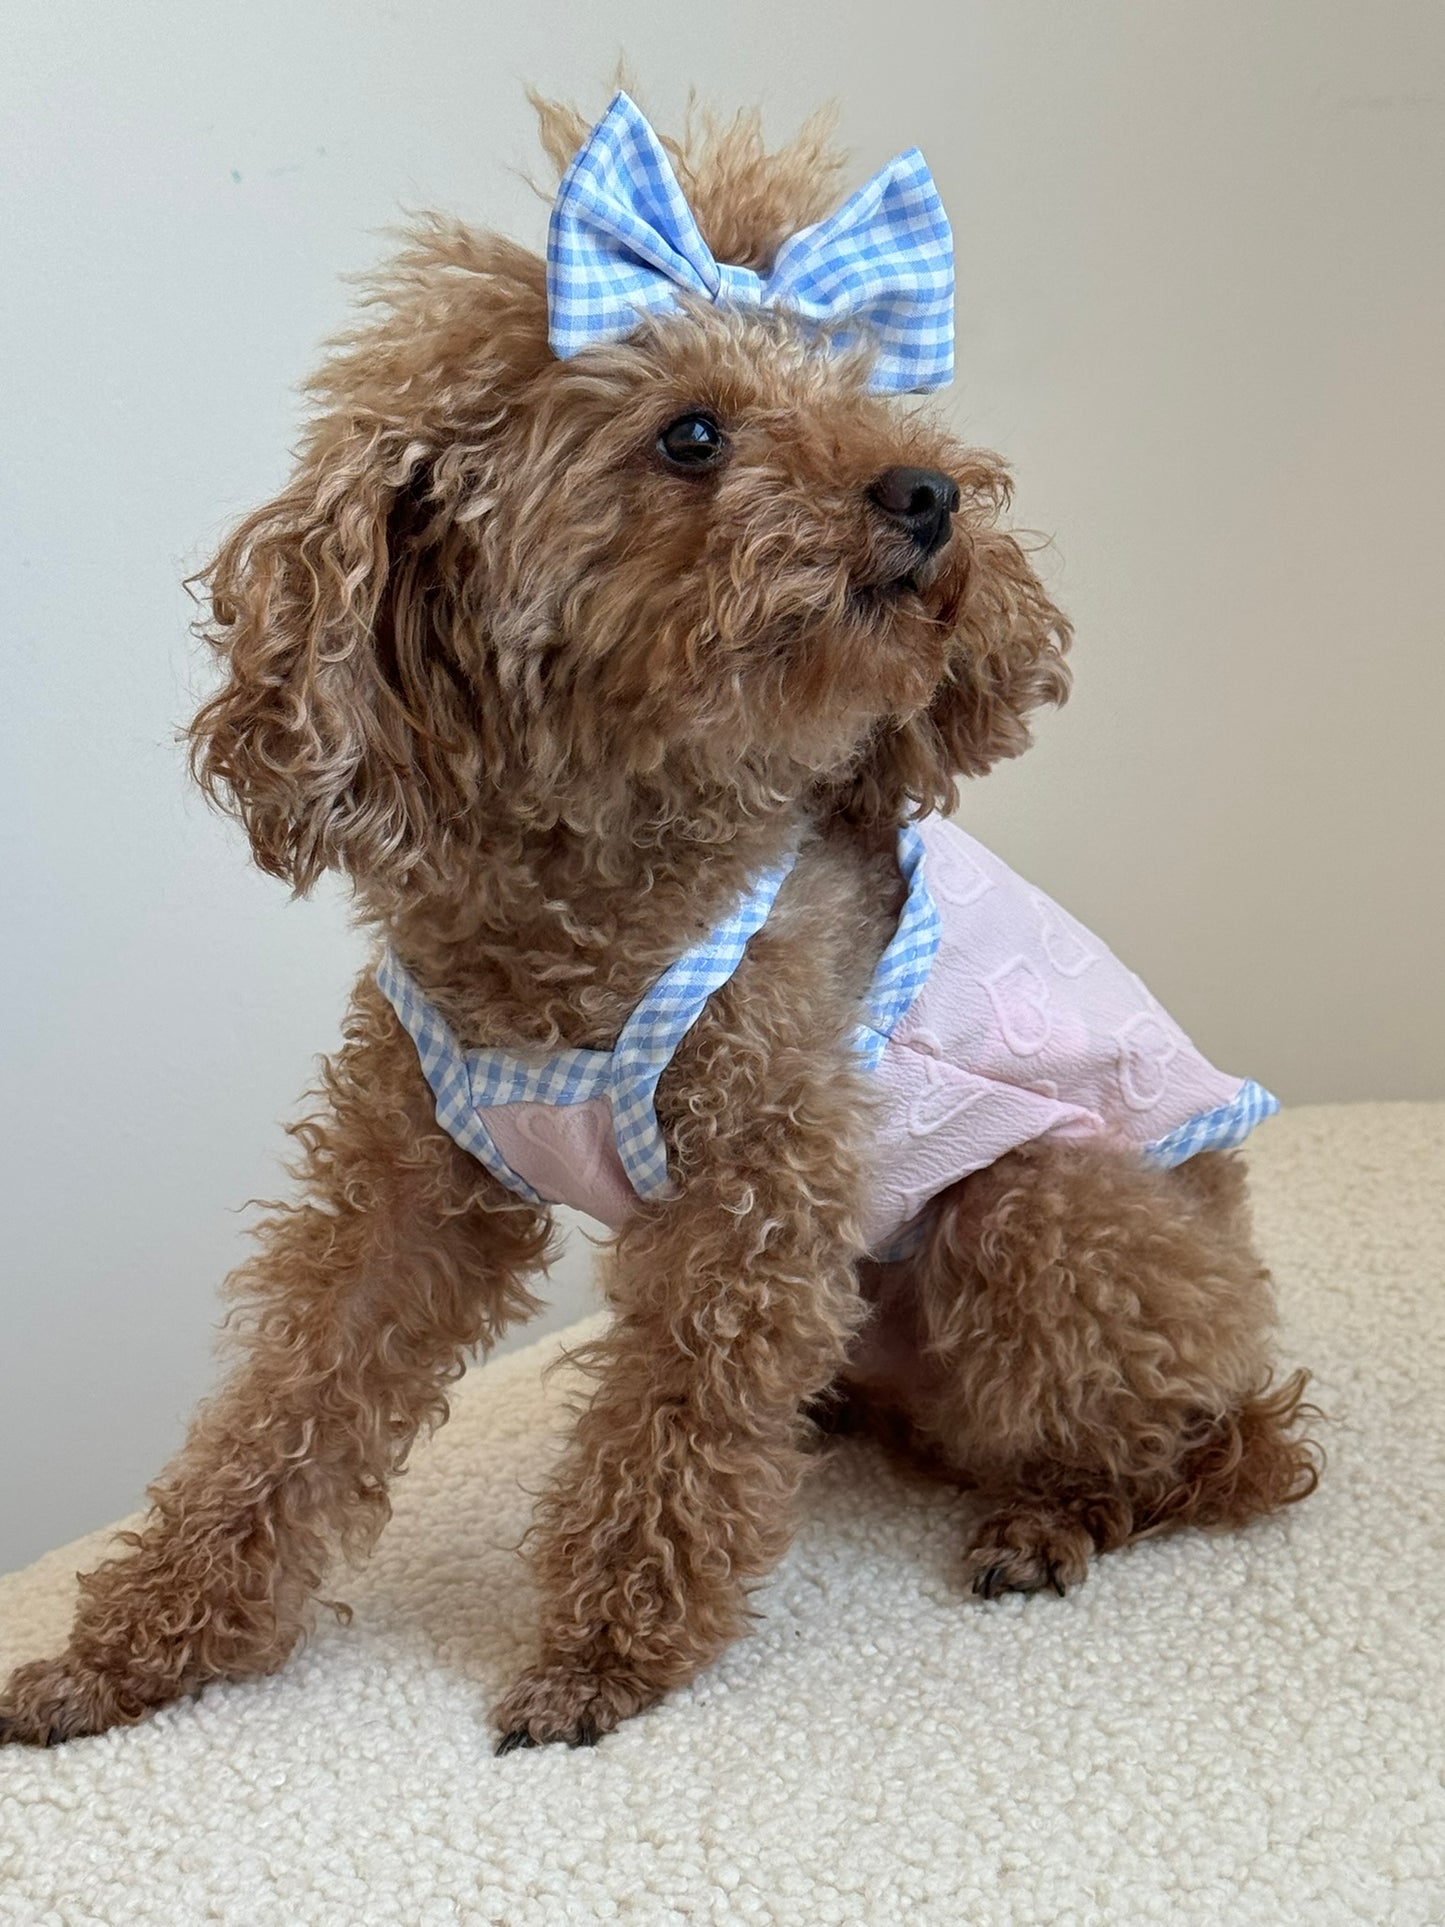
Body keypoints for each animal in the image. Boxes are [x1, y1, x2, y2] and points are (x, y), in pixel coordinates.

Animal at [0, 93, 1325, 1749]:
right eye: (691, 433)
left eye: (861, 400)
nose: (928, 492)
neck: (601, 865)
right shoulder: (406, 1179)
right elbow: (290, 1402)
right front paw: (136, 1646)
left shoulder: (749, 1190)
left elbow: (670, 1430)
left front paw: (602, 1657)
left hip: (1050, 1216)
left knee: (1220, 1446)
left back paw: (1053, 1513)